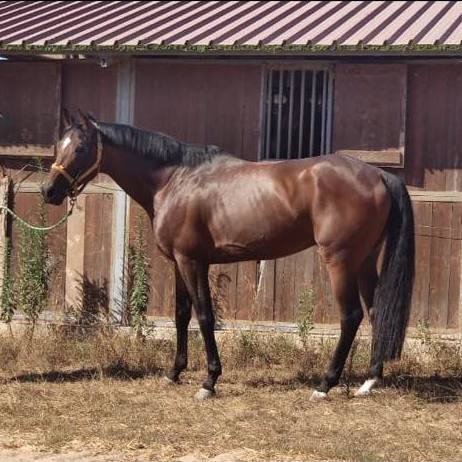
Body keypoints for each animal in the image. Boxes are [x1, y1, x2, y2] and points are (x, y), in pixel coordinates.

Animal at [40, 111, 416, 400]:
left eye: (81, 147)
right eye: (59, 145)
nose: (49, 191)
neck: (175, 179)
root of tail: (378, 174)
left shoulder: (193, 262)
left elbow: (205, 317)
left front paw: (209, 381)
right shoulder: (179, 263)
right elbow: (181, 315)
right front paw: (174, 372)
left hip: (340, 261)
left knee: (351, 316)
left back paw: (325, 385)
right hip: (364, 261)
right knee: (377, 312)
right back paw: (369, 381)